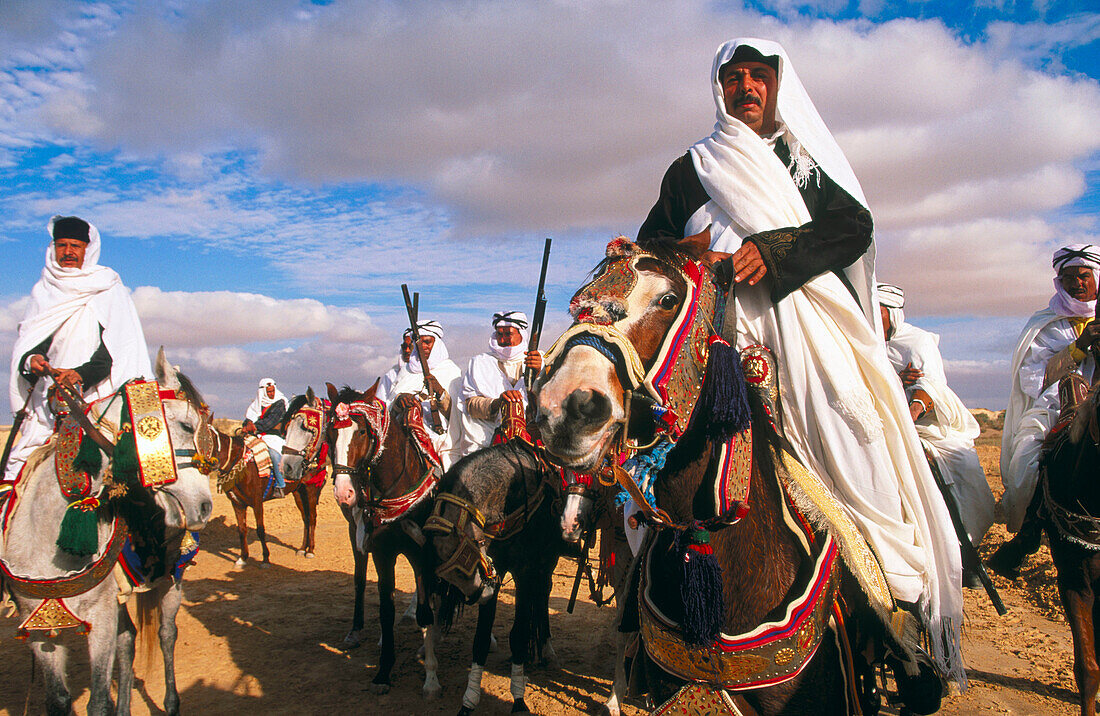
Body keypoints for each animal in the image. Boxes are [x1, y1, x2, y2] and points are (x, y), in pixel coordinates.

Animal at [0, 349, 212, 712]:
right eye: (186, 425)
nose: (204, 506)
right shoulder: (39, 625)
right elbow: (58, 700)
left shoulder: (99, 618)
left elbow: (98, 701)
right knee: (127, 640)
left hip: (171, 578)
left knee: (166, 634)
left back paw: (171, 703)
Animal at [201, 391, 323, 567]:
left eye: (207, 438)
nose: (202, 463)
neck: (238, 462)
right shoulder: (237, 503)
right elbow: (242, 530)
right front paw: (243, 558)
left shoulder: (257, 501)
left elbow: (260, 529)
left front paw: (265, 558)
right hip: (298, 492)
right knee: (305, 518)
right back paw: (302, 548)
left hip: (311, 489)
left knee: (312, 517)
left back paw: (311, 550)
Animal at [325, 382, 442, 699]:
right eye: (330, 434)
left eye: (363, 432)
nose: (344, 493)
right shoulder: (382, 552)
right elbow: (386, 609)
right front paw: (383, 670)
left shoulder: (422, 555)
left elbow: (427, 612)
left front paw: (431, 677)